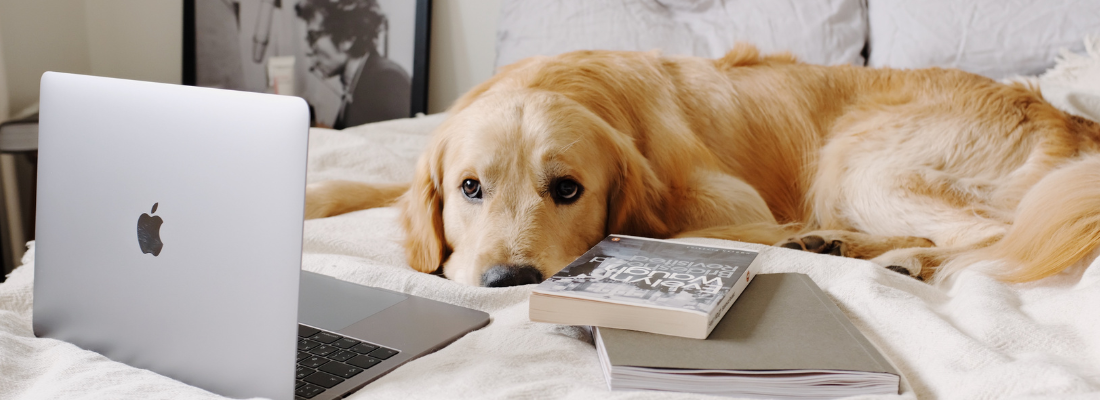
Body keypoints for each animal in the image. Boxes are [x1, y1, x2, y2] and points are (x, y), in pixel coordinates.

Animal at [301, 43, 1100, 287]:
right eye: (470, 188)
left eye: (568, 189)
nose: (508, 280)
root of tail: (1068, 115)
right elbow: (367, 184)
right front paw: (310, 193)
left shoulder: (733, 204)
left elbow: (680, 233)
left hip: (856, 160)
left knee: (990, 238)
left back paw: (888, 257)